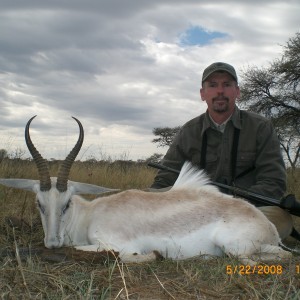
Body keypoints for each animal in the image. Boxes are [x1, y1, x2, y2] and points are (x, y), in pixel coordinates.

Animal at [0, 117, 292, 264]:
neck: (90, 215)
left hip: (235, 248)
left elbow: (119, 255)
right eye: (39, 203)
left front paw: (156, 255)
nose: (52, 242)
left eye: (67, 203)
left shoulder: (112, 244)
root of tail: (269, 227)